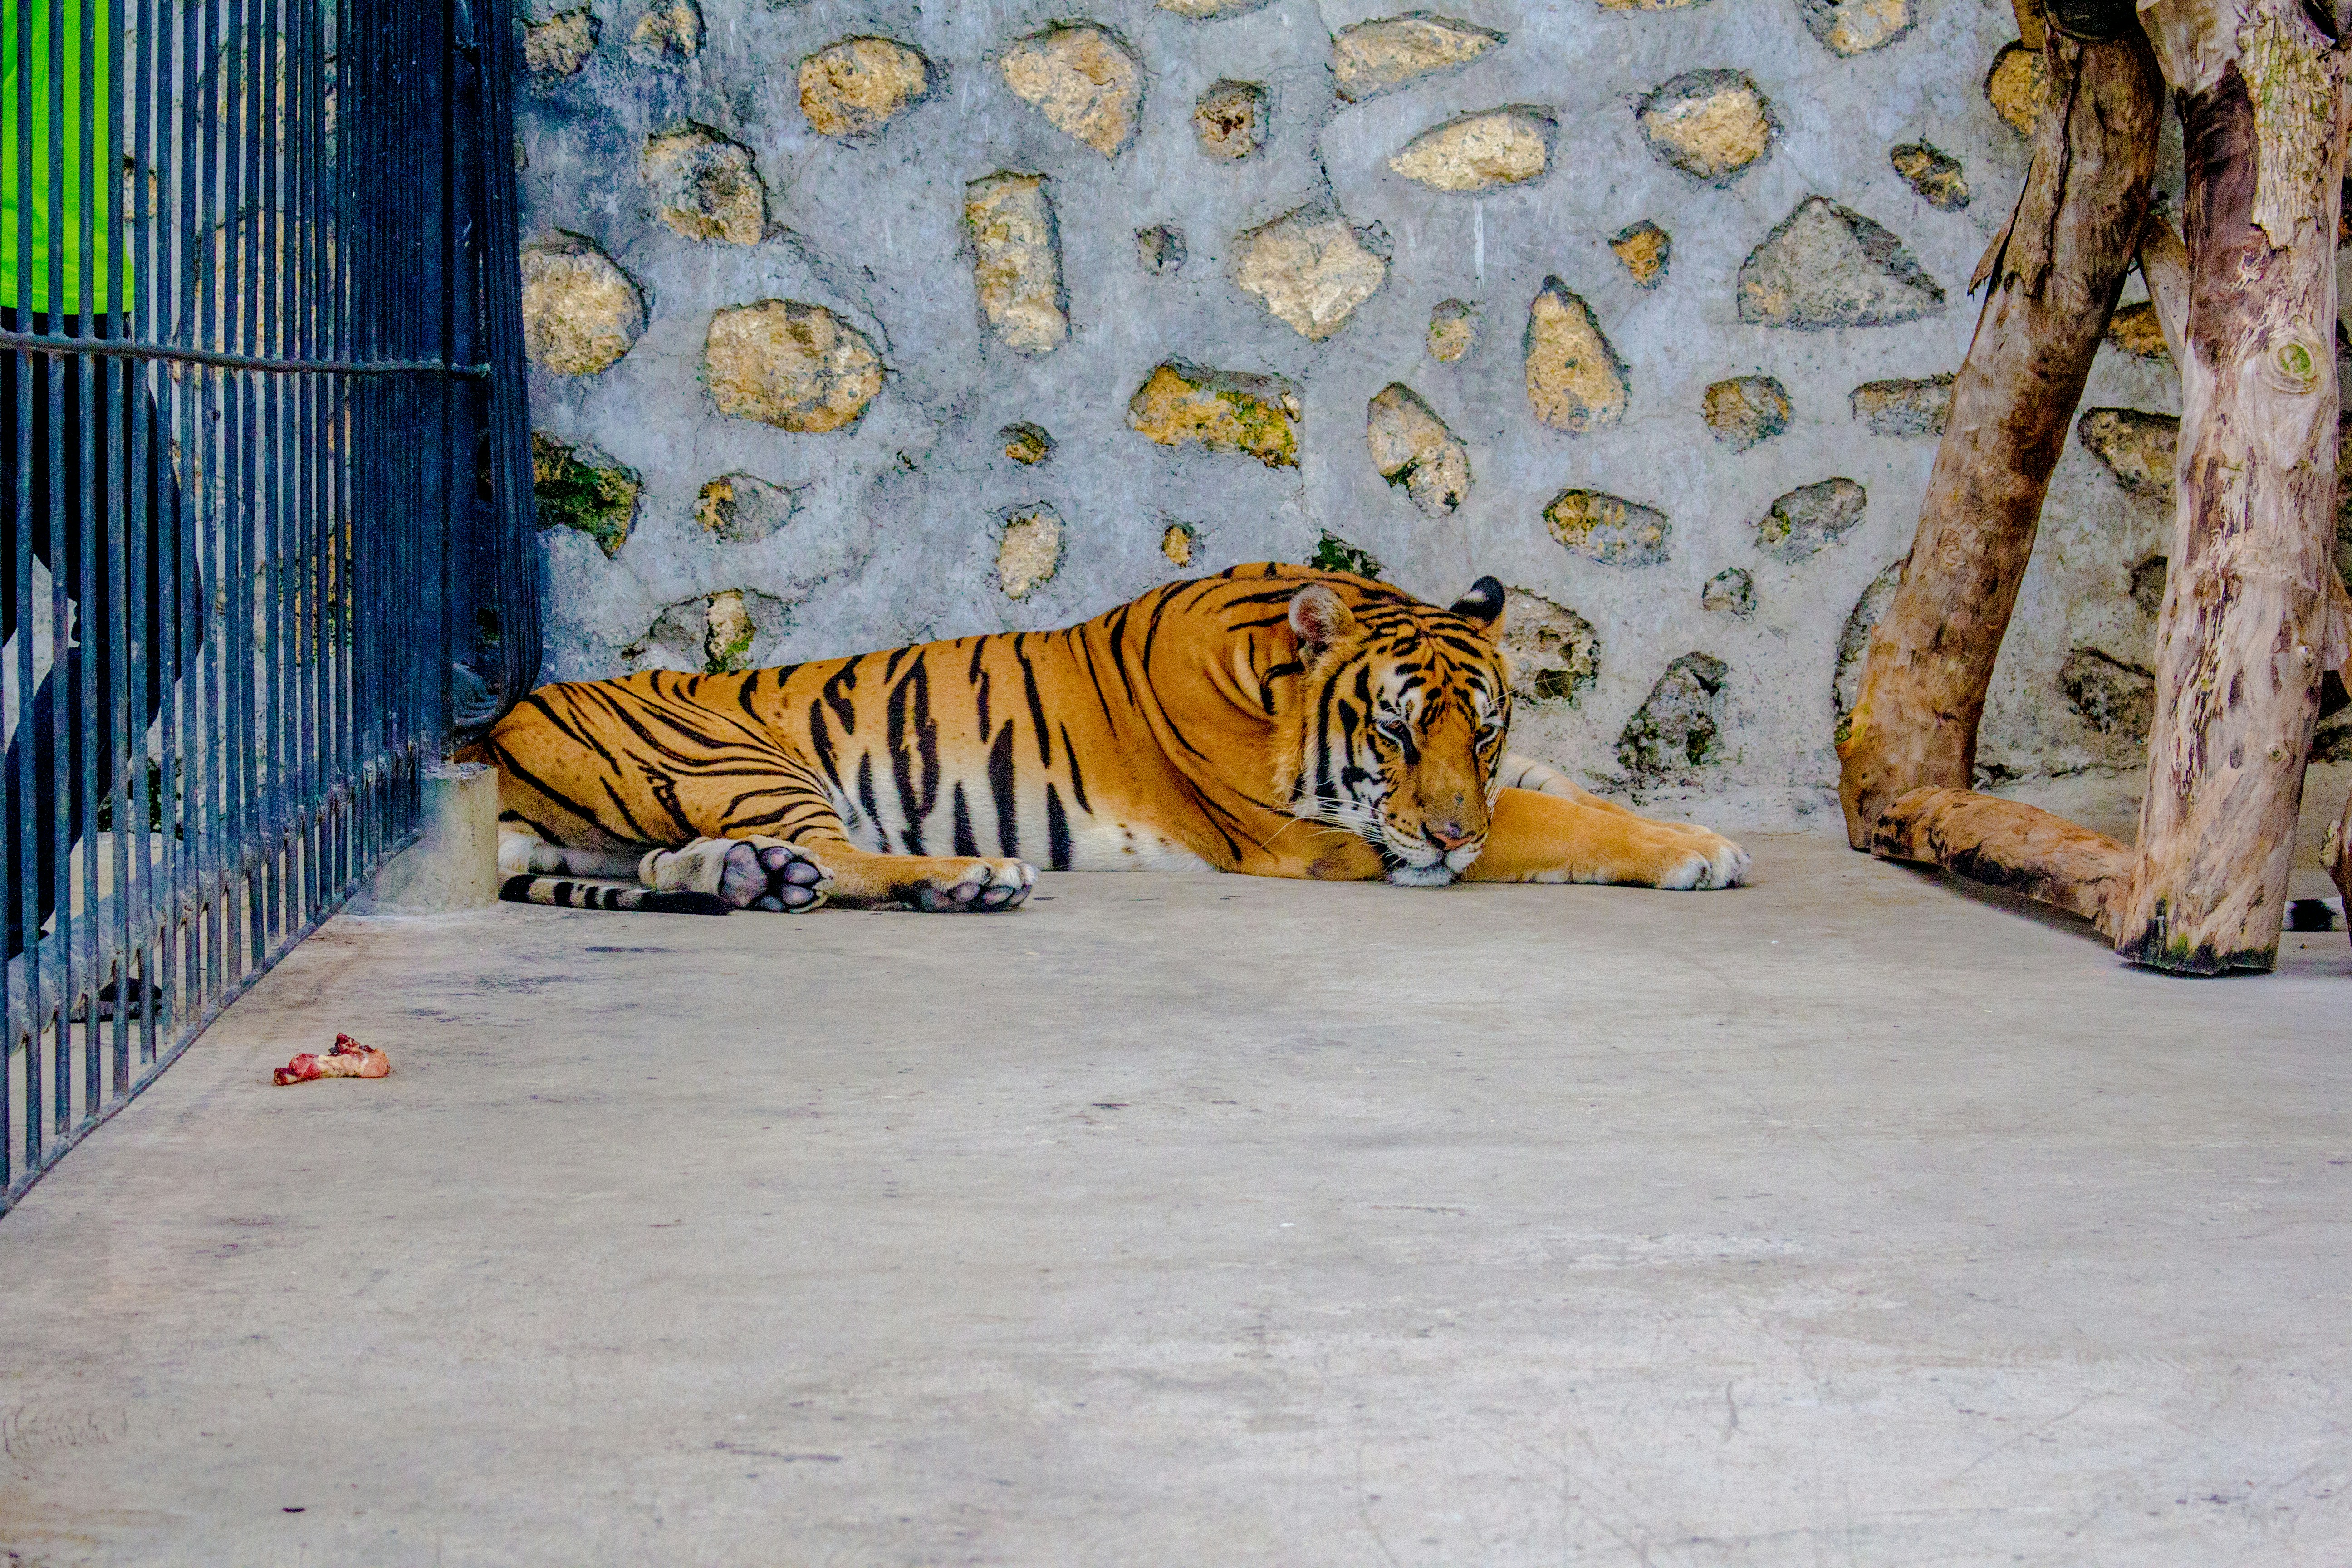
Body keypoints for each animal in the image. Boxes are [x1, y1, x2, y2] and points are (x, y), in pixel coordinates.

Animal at [483, 562, 1750, 915]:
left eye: (1479, 732)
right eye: (1391, 733)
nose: (1444, 832)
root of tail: (499, 728)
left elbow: (1555, 789)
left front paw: (1684, 825)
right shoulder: (1327, 839)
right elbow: (1539, 822)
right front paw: (1698, 850)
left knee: (685, 864)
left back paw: (755, 879)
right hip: (739, 753)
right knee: (844, 854)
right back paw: (969, 877)